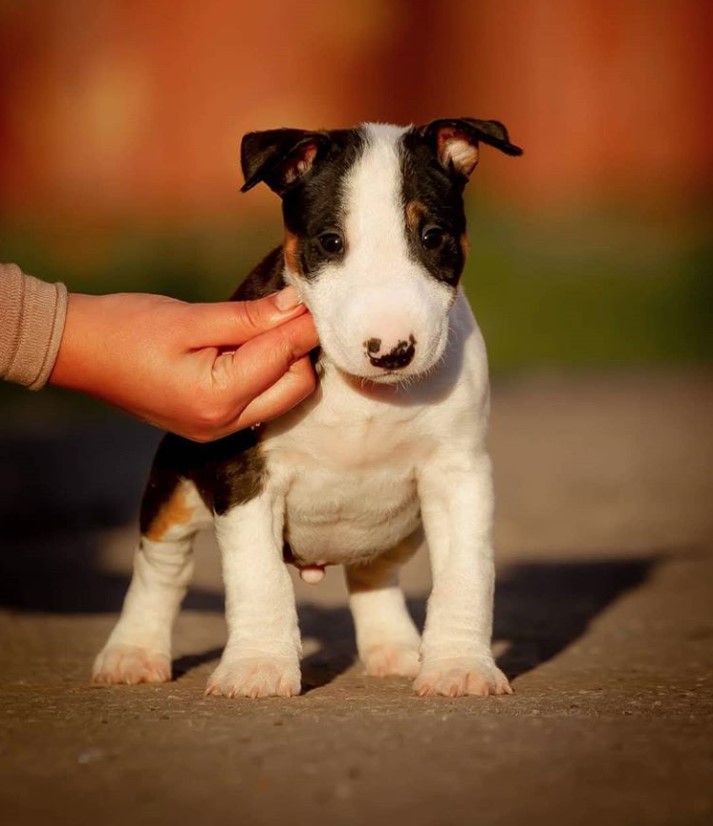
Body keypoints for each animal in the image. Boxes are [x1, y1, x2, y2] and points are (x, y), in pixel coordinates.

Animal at [92, 116, 520, 696]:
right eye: (331, 241)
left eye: (433, 236)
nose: (392, 352)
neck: (362, 390)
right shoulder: (244, 475)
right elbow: (258, 576)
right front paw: (257, 668)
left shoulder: (459, 473)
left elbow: (466, 573)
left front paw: (459, 666)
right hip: (174, 491)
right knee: (161, 570)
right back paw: (132, 654)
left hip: (398, 528)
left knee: (371, 574)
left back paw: (395, 650)